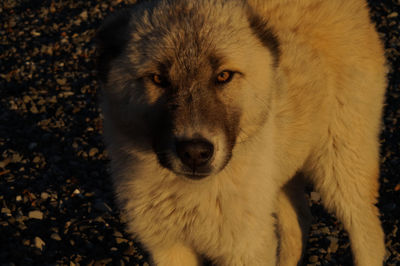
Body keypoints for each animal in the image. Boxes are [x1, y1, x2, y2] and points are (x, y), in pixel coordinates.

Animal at [95, 0, 386, 264]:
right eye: (158, 79)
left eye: (224, 75)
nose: (195, 153)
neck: (191, 192)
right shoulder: (169, 247)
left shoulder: (245, 247)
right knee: (299, 222)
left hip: (341, 164)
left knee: (369, 234)